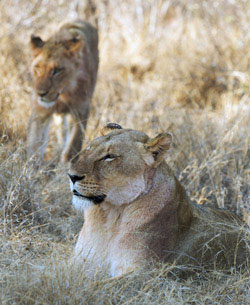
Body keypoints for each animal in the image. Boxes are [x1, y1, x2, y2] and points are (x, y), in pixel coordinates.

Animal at [26, 19, 98, 163]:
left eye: (57, 70)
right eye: (37, 68)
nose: (40, 93)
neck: (64, 93)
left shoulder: (81, 112)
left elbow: (72, 149)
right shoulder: (40, 112)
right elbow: (35, 148)